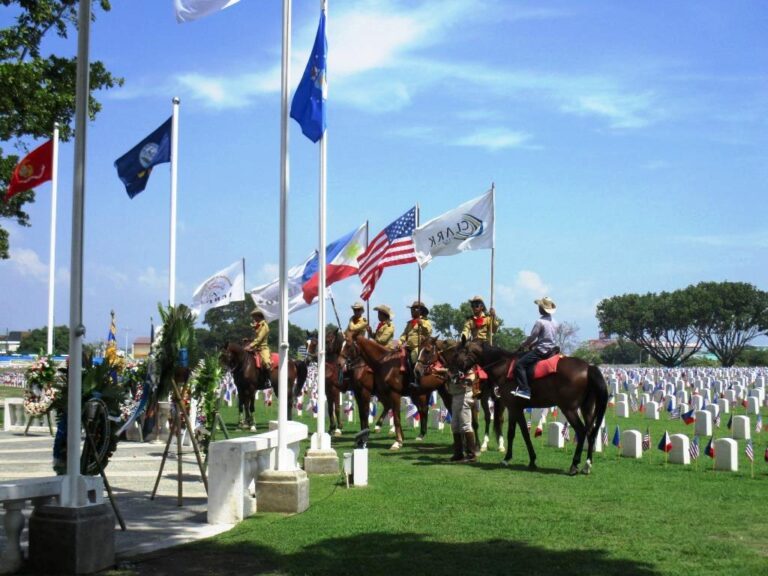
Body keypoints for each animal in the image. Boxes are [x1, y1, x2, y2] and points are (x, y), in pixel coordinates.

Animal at [448, 340, 608, 474]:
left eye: (456, 355)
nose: (452, 376)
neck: (504, 367)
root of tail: (588, 367)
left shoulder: (514, 408)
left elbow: (520, 433)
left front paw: (514, 458)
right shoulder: (514, 409)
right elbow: (515, 433)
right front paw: (523, 459)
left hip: (569, 409)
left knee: (581, 431)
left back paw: (574, 465)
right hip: (586, 409)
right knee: (591, 432)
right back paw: (587, 465)